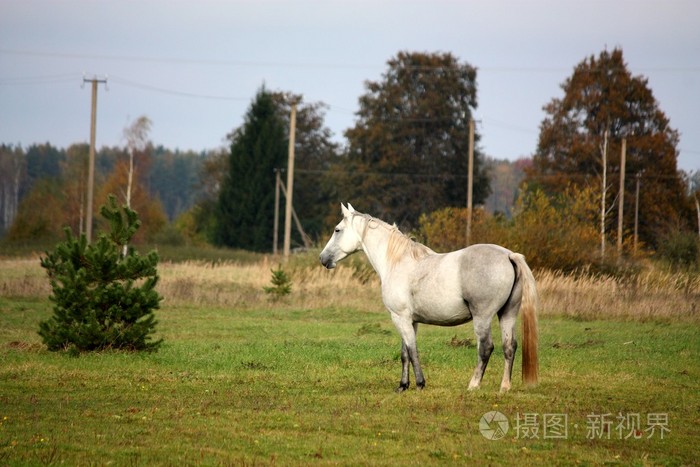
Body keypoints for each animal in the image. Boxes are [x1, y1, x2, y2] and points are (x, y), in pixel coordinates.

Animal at [320, 204, 540, 392]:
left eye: (337, 230)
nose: (323, 259)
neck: (397, 262)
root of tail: (509, 255)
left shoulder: (399, 317)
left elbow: (413, 350)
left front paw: (419, 384)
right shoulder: (410, 320)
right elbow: (405, 353)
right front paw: (403, 386)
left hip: (483, 317)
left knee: (486, 348)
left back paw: (473, 385)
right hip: (507, 314)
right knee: (509, 347)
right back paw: (504, 387)